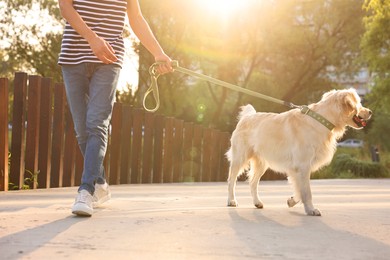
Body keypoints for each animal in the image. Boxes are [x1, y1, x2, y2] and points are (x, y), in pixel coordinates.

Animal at [227, 88, 374, 216]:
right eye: (359, 103)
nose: (370, 112)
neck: (321, 120)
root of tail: (247, 116)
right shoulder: (303, 165)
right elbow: (307, 191)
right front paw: (311, 210)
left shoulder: (296, 168)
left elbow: (299, 190)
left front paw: (292, 201)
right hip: (240, 157)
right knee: (231, 180)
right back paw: (231, 201)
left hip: (262, 163)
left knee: (253, 182)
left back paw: (257, 202)